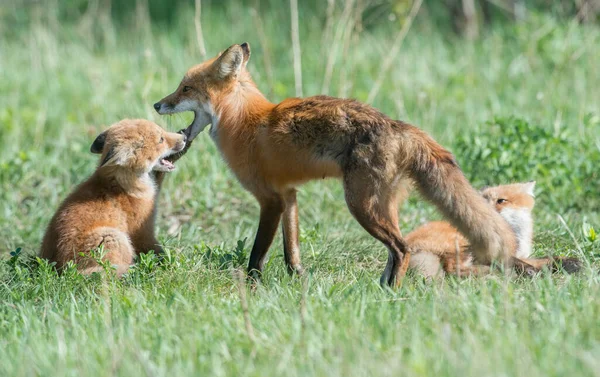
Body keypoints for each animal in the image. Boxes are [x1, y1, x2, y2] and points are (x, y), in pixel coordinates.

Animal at [41, 119, 186, 274]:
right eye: (161, 139)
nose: (184, 137)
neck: (121, 184)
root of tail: (57, 269)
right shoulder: (142, 231)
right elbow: (156, 250)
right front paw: (169, 263)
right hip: (114, 237)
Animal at [154, 42, 516, 286]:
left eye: (185, 88)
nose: (157, 104)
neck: (245, 122)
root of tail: (399, 126)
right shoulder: (289, 195)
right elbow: (291, 251)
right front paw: (299, 281)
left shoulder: (269, 200)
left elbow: (257, 254)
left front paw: (253, 287)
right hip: (382, 206)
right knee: (397, 249)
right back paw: (382, 288)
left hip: (360, 204)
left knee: (402, 248)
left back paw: (392, 293)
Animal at [408, 181, 580, 278]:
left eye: (501, 201)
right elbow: (526, 263)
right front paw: (531, 271)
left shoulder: (517, 253)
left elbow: (543, 259)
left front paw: (566, 262)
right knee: (454, 269)